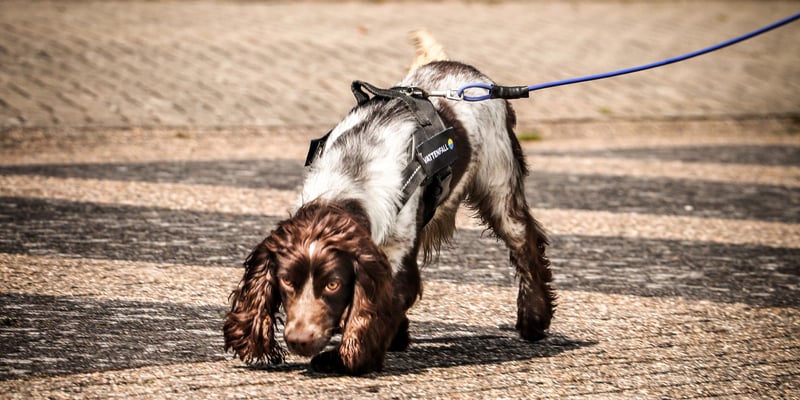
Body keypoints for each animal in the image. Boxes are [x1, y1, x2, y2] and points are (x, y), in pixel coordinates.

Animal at [222, 30, 552, 376]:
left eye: (333, 285)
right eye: (286, 281)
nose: (300, 340)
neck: (350, 179)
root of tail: (464, 70)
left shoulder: (396, 256)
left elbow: (378, 306)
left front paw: (345, 357)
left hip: (498, 184)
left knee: (526, 244)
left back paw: (534, 319)